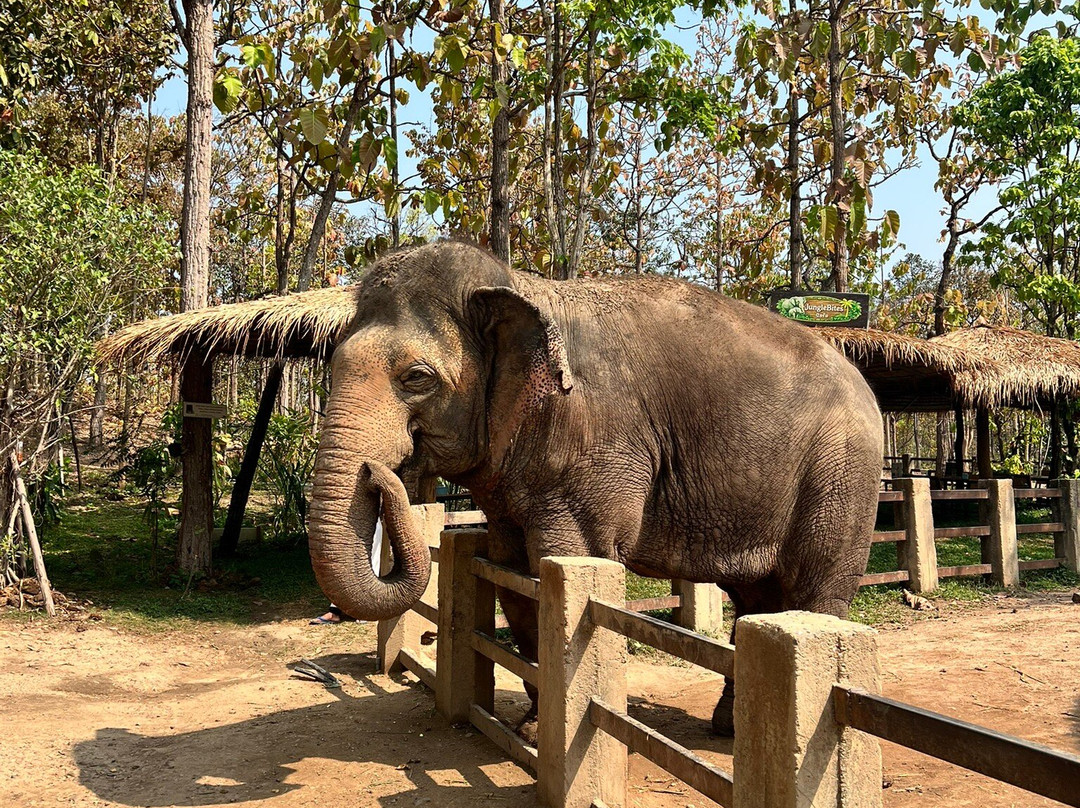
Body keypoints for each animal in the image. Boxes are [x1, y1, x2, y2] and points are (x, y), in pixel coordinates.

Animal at [307, 240, 883, 735]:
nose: (377, 473)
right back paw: (729, 728)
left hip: (842, 474)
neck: (522, 286)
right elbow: (514, 574)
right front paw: (530, 727)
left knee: (811, 592)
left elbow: (561, 560)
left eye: (417, 378)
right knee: (755, 599)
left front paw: (539, 733)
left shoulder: (598, 450)